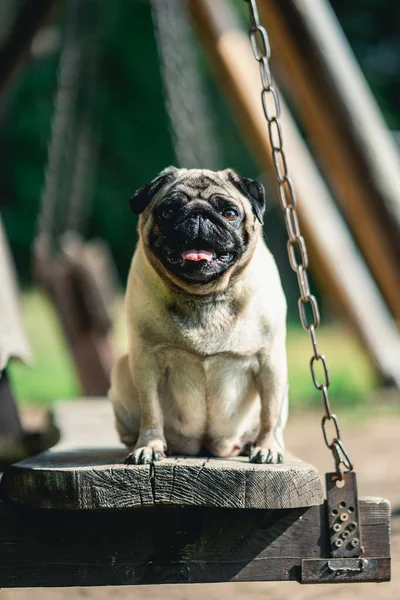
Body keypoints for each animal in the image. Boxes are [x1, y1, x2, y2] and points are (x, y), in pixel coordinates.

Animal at [109, 166, 288, 466]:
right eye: (168, 211)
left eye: (230, 213)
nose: (199, 214)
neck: (204, 296)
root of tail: (205, 445)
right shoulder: (146, 361)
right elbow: (151, 410)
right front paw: (149, 446)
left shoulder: (270, 361)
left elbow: (269, 413)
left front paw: (268, 447)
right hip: (122, 370)